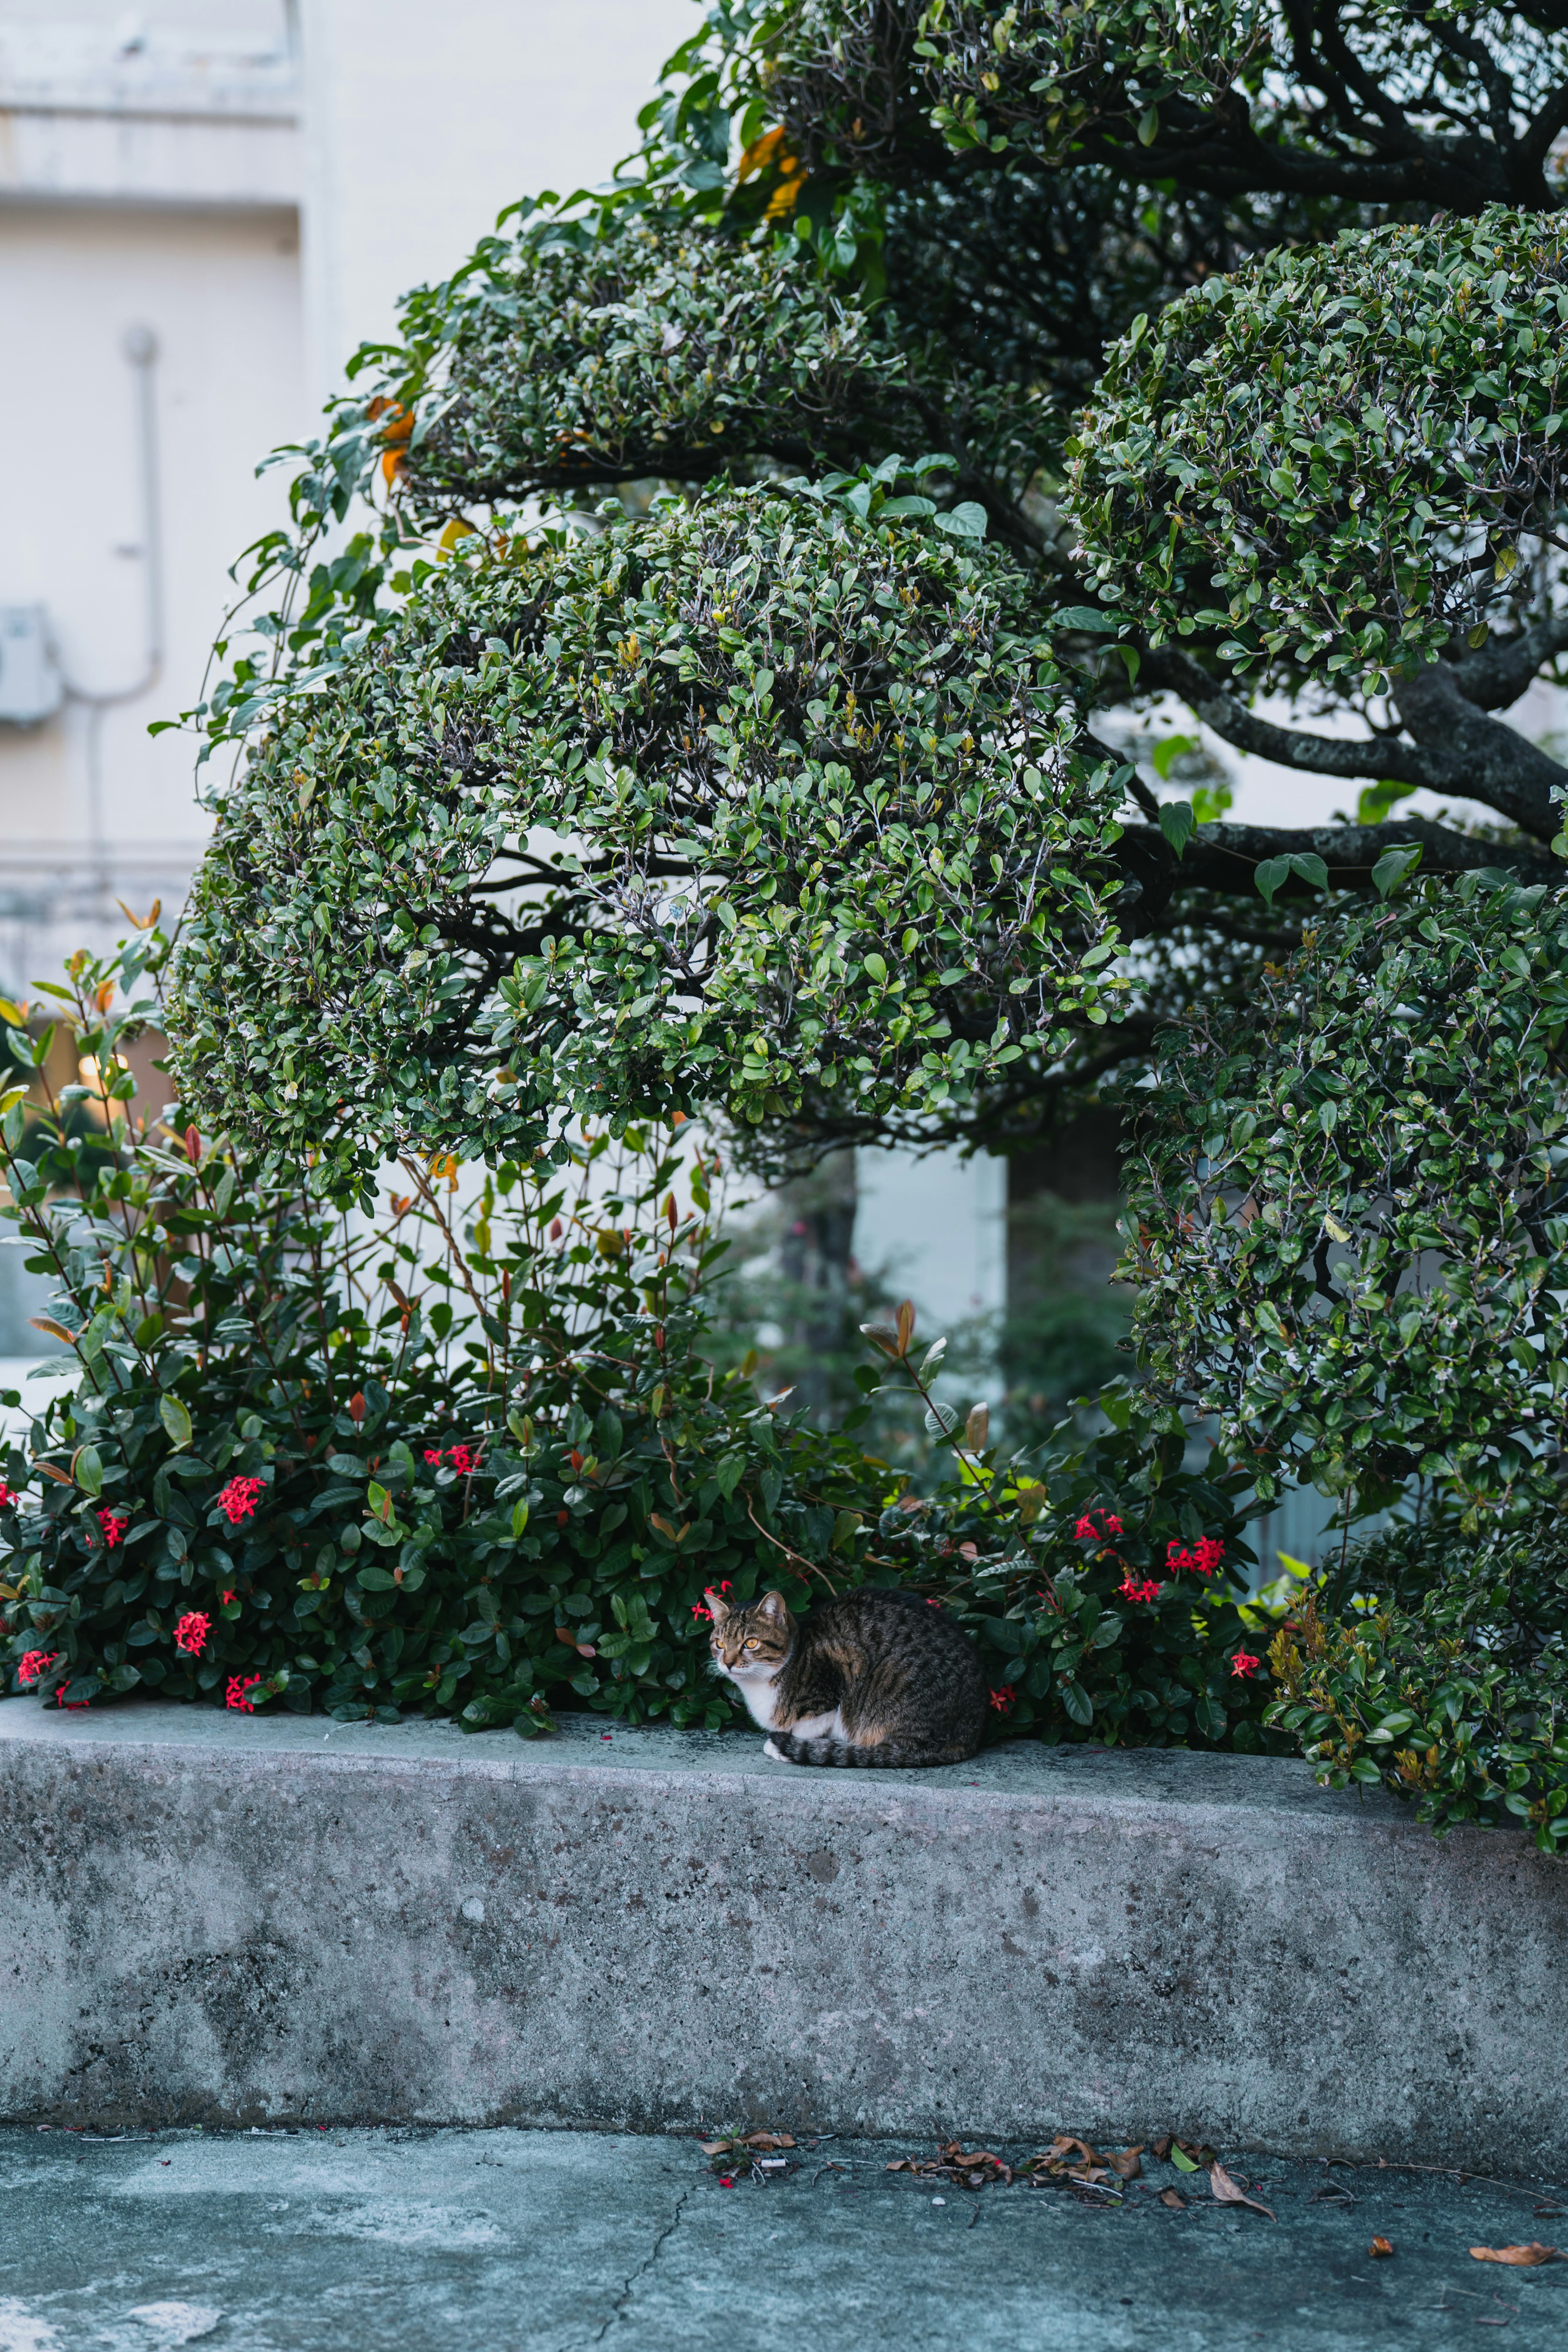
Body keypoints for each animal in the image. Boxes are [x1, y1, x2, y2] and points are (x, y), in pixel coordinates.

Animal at [710, 1581, 982, 1768]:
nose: (728, 1663)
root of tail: (971, 1732)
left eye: (751, 1643)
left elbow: (807, 1727)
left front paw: (784, 1746)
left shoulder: (837, 1669)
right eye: (720, 1644)